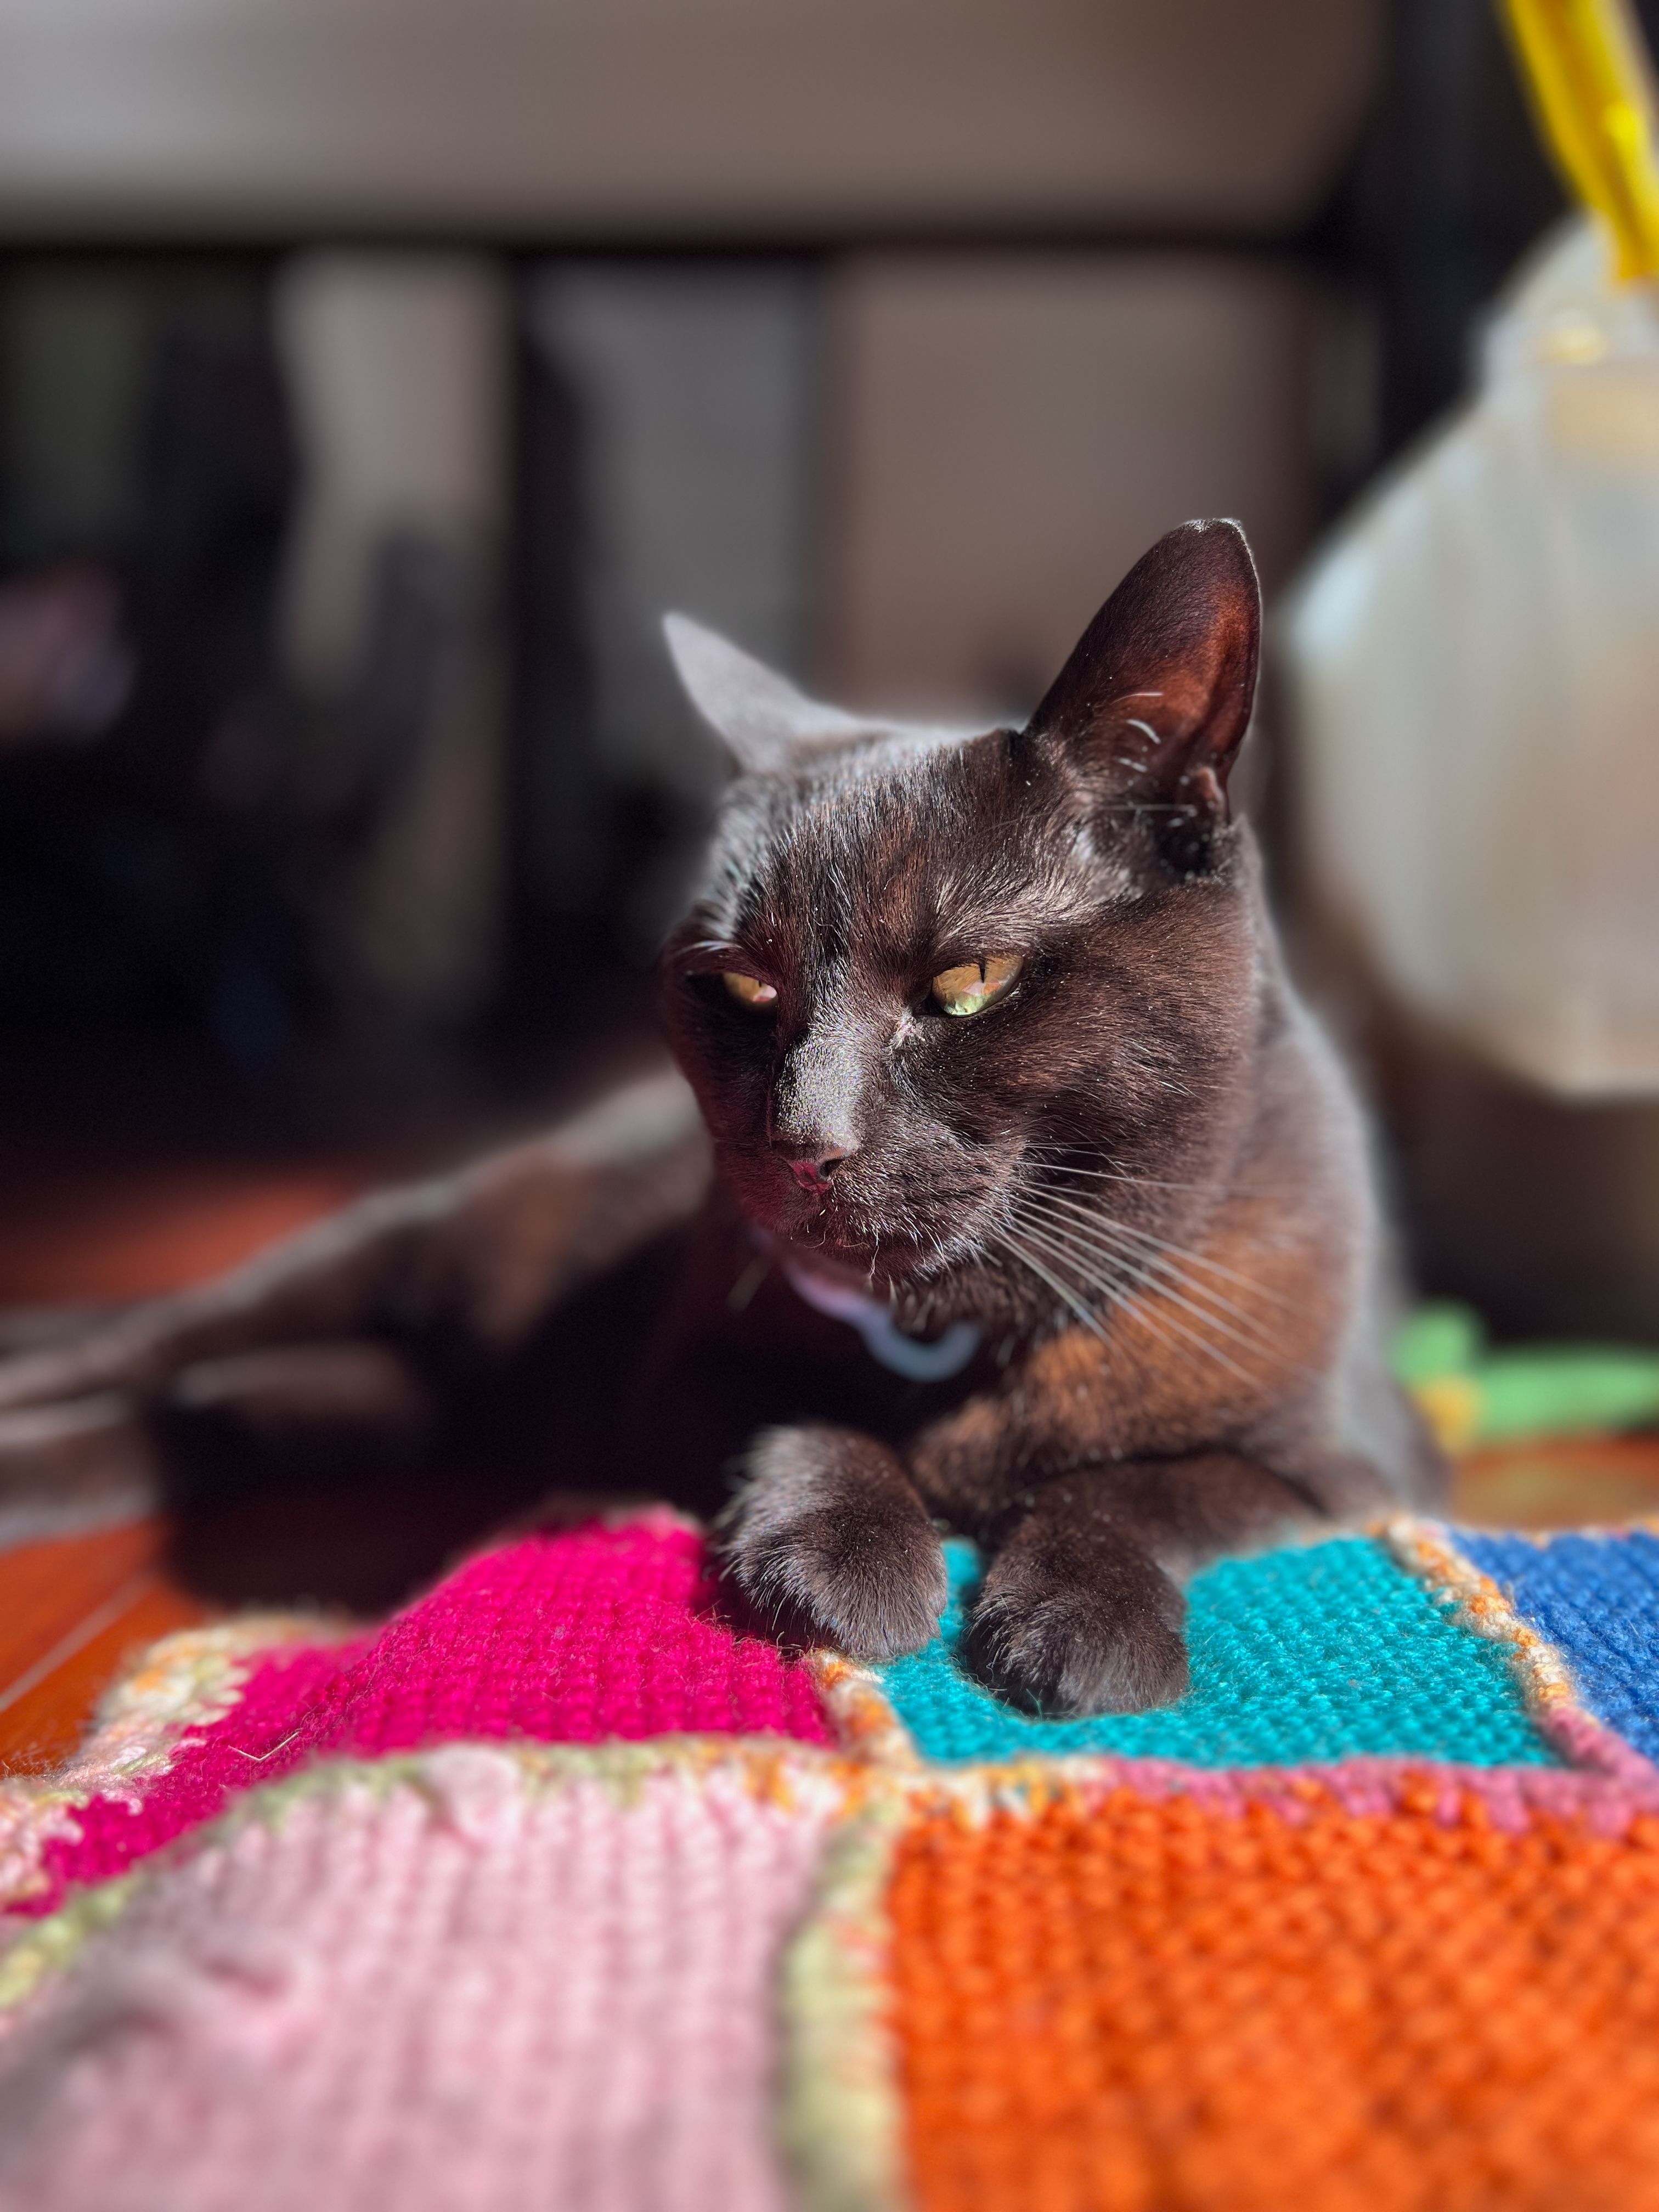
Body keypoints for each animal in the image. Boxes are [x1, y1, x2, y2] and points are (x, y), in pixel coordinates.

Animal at [0, 526, 1442, 1716]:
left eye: (969, 982)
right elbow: (807, 1419)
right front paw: (848, 1564)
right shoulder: (668, 1382)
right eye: (737, 985)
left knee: (230, 1400)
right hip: (401, 1256)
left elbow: (1152, 1482)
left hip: (431, 1392)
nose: (804, 1137)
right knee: (161, 1346)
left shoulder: (1357, 1460)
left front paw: (1078, 1625)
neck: (971, 1352)